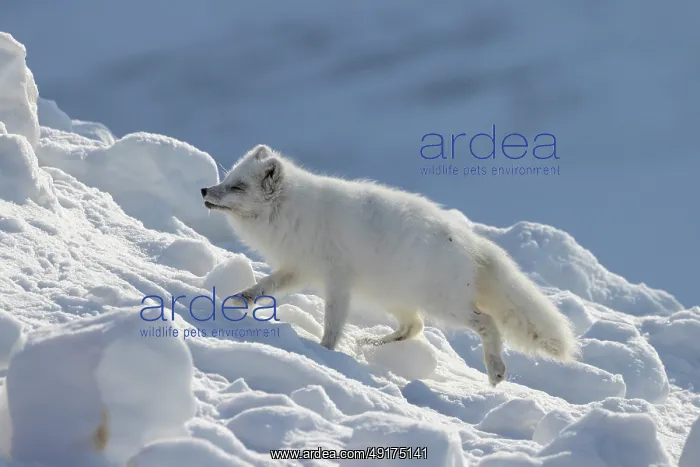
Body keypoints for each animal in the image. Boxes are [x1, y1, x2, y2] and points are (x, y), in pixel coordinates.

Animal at [201, 144, 577, 386]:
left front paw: (324, 353)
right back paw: (370, 344)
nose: (204, 190)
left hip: (445, 305)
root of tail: (473, 242)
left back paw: (495, 370)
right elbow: (265, 286)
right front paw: (239, 300)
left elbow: (332, 322)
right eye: (227, 180)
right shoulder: (299, 269)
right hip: (393, 297)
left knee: (487, 323)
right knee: (414, 327)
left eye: (237, 187)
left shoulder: (336, 280)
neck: (292, 212)